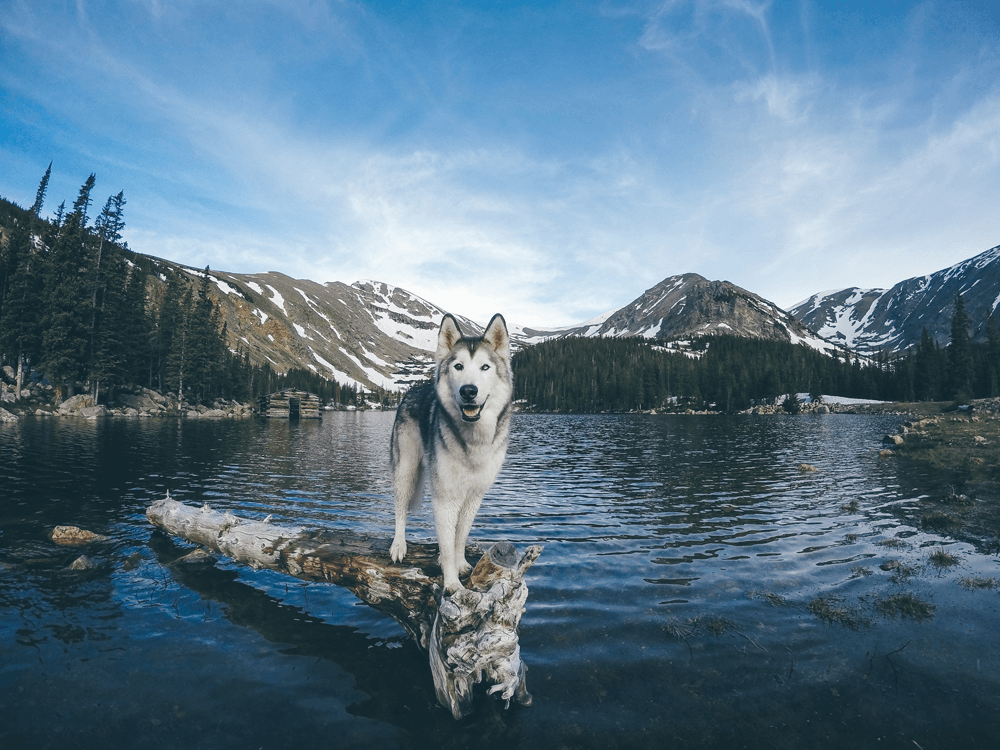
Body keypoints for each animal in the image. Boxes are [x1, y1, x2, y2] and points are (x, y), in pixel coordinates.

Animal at [388, 312, 512, 592]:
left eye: (485, 367)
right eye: (458, 366)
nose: (468, 390)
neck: (473, 441)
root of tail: (414, 389)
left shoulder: (474, 496)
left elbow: (459, 537)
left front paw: (460, 563)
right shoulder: (445, 497)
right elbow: (445, 541)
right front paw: (452, 583)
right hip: (406, 469)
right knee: (400, 508)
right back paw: (398, 545)